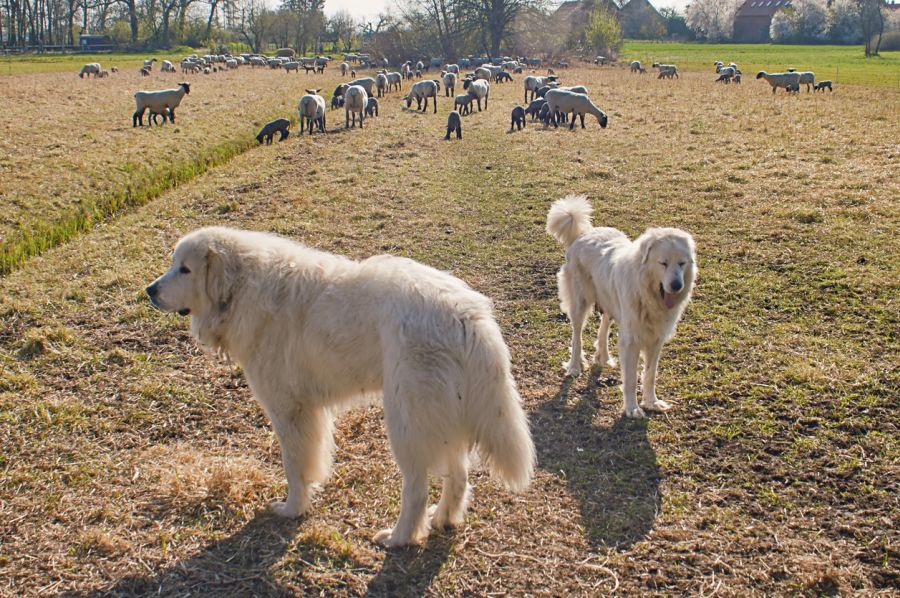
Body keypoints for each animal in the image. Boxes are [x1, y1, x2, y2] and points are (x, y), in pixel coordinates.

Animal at [147, 229, 536, 548]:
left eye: (185, 269)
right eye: (173, 265)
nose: (149, 290)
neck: (242, 287)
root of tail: (467, 314)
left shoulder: (288, 411)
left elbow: (294, 466)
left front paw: (292, 509)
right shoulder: (310, 411)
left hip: (406, 421)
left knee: (416, 488)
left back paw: (399, 537)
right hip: (442, 417)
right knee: (459, 475)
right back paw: (443, 520)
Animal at [544, 195, 700, 420]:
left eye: (682, 263)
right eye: (663, 263)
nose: (677, 286)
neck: (648, 294)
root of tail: (584, 233)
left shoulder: (656, 340)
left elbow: (650, 374)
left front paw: (651, 402)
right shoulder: (631, 341)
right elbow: (631, 379)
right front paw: (632, 408)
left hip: (610, 302)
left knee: (603, 326)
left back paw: (604, 357)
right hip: (580, 303)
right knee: (577, 336)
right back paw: (574, 366)